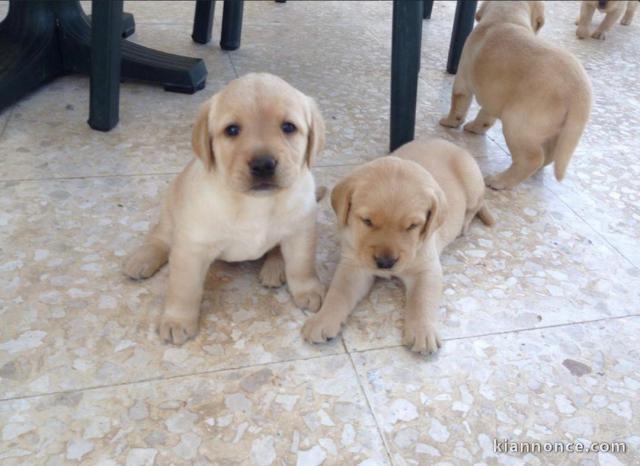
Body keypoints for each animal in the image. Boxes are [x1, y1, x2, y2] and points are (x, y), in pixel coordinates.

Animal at [123, 72, 328, 342]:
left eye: (288, 127)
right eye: (232, 130)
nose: (263, 165)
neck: (255, 203)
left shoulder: (300, 231)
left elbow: (302, 265)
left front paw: (308, 290)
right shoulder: (192, 247)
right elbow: (183, 288)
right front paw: (178, 320)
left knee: (276, 249)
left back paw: (274, 267)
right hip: (171, 214)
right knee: (160, 239)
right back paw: (142, 259)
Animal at [302, 138, 496, 354]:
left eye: (412, 226)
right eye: (367, 221)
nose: (385, 263)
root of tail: (449, 143)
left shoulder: (427, 268)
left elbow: (422, 299)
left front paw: (423, 332)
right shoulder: (354, 265)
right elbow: (338, 293)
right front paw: (322, 320)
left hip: (472, 182)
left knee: (476, 205)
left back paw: (464, 224)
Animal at [440, 0, 592, 189]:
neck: (506, 18)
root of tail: (579, 91)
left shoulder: (463, 78)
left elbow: (458, 104)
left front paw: (449, 122)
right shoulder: (494, 96)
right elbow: (485, 116)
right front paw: (475, 127)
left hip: (517, 124)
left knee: (532, 158)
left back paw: (499, 180)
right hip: (556, 130)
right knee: (548, 155)